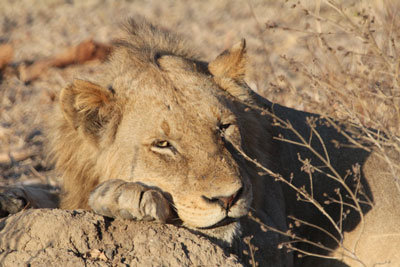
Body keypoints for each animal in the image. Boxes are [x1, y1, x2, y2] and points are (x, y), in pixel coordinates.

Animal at [0, 19, 400, 267]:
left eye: (224, 128)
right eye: (163, 144)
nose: (227, 199)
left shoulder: (270, 239)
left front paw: (125, 195)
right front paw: (12, 197)